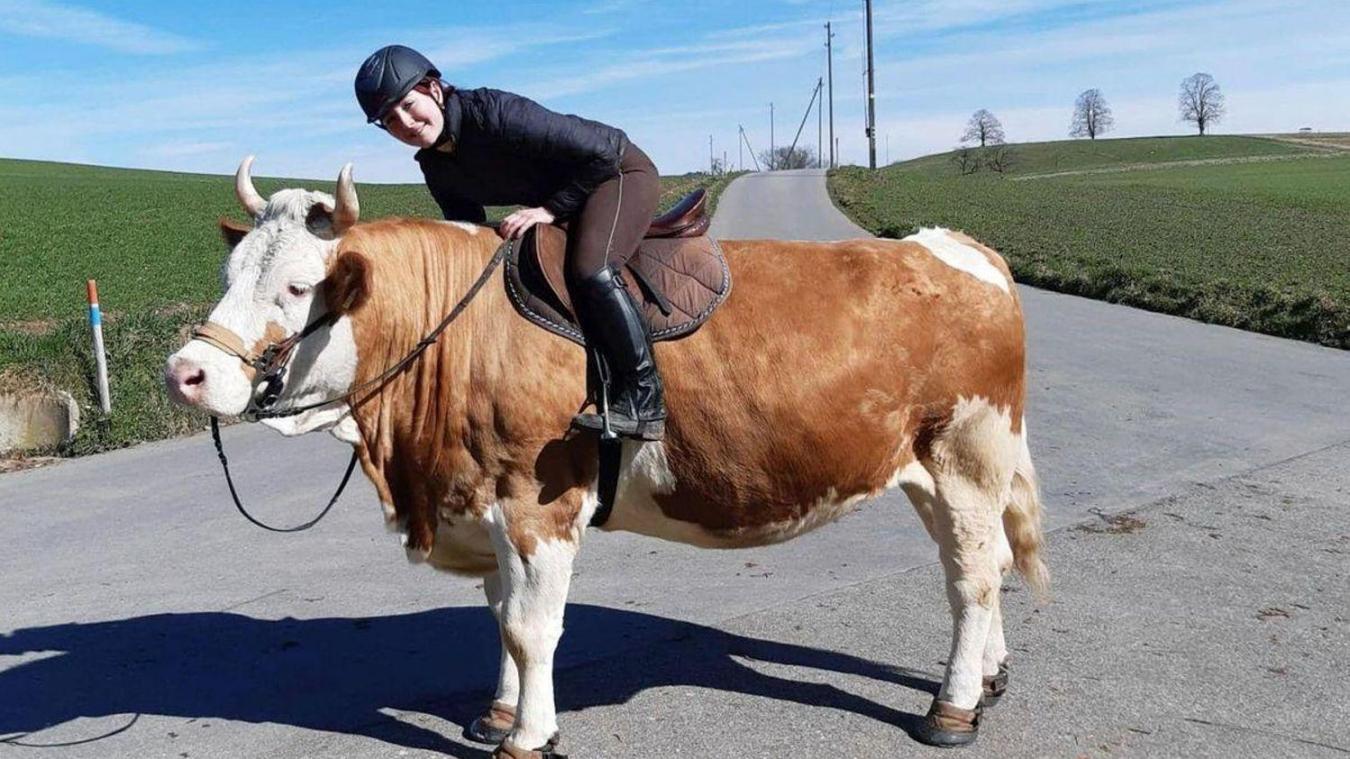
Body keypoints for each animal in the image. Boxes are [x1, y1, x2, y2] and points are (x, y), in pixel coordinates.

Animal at [166, 156, 1042, 750]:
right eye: (229, 271)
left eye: (295, 287)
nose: (186, 371)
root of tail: (952, 246)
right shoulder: (484, 502)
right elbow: (499, 618)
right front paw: (499, 713)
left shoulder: (537, 502)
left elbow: (530, 627)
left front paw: (529, 734)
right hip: (932, 469)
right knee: (984, 563)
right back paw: (990, 678)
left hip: (968, 453)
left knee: (971, 575)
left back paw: (950, 708)